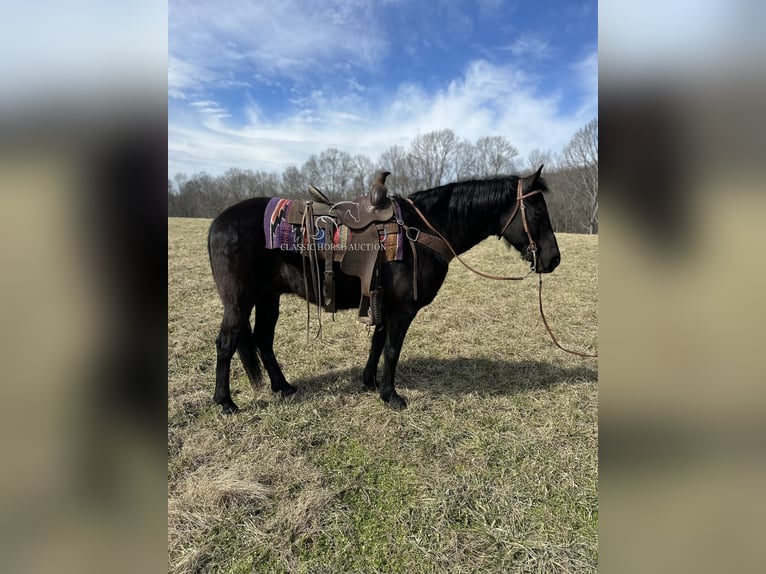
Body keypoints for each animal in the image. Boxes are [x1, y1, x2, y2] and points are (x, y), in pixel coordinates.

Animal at [207, 166, 560, 414]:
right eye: (538, 212)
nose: (554, 259)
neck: (423, 230)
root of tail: (217, 222)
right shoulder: (402, 309)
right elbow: (391, 349)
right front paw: (391, 395)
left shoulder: (383, 303)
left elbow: (377, 343)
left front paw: (370, 382)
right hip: (238, 302)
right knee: (226, 343)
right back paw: (225, 402)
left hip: (268, 297)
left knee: (263, 340)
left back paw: (283, 386)